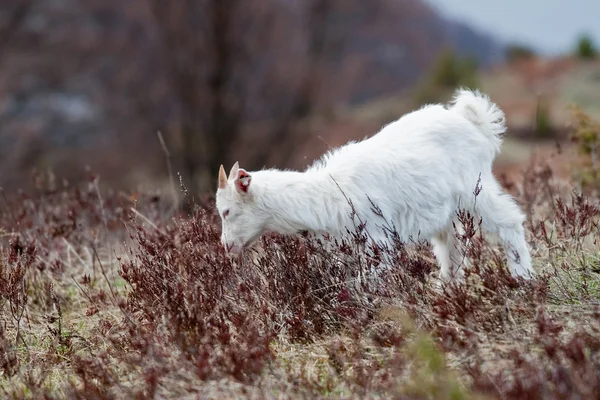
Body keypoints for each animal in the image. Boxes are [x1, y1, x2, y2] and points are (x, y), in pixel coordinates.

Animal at [216, 89, 536, 282]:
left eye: (227, 211)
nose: (226, 246)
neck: (327, 194)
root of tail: (473, 122)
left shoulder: (377, 239)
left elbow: (367, 282)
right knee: (450, 245)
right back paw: (448, 288)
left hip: (475, 190)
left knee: (508, 222)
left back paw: (522, 276)